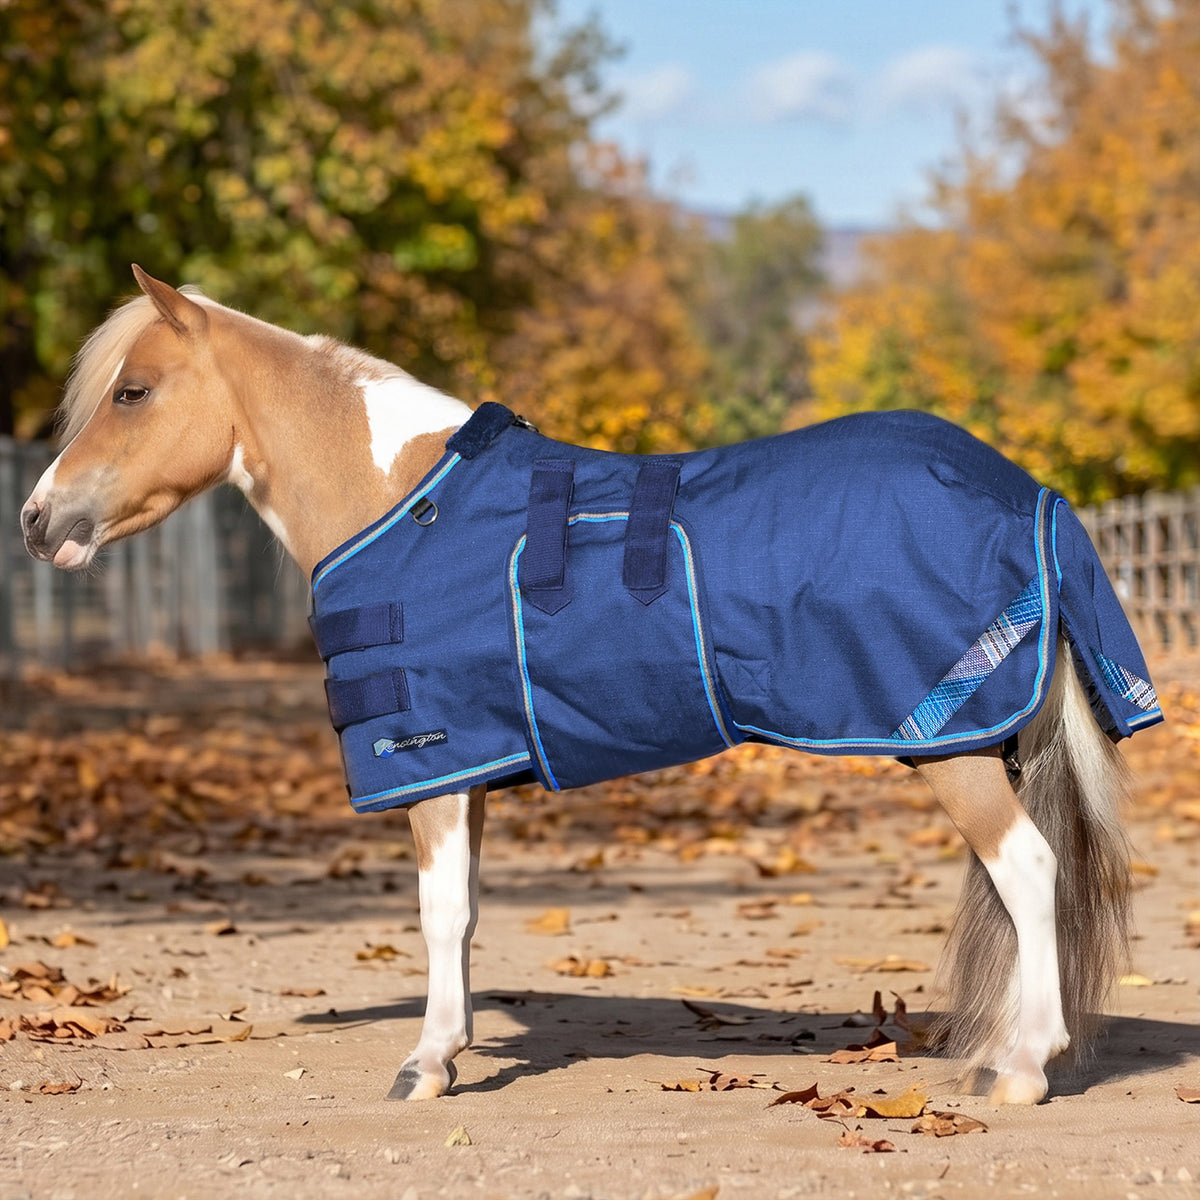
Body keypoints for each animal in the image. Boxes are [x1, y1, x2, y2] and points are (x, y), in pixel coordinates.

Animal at [21, 266, 1160, 1106]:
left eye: (132, 392)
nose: (38, 519)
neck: (403, 499)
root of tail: (1026, 491)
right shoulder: (472, 769)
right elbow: (466, 915)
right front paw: (451, 1048)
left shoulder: (431, 766)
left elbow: (437, 913)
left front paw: (425, 1065)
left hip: (946, 744)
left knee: (1029, 870)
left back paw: (1022, 1071)